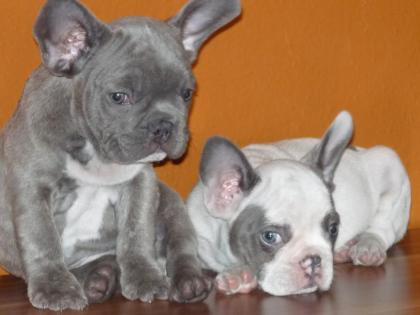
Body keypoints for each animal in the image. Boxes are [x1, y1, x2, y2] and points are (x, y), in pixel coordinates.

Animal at [0, 0, 241, 312]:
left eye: (187, 94)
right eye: (119, 97)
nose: (163, 125)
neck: (96, 152)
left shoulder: (141, 185)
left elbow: (136, 235)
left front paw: (145, 278)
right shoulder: (33, 187)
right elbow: (42, 239)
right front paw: (55, 289)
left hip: (171, 204)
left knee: (180, 246)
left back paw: (188, 282)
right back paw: (97, 280)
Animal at [188, 112, 410, 298]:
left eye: (333, 228)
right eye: (270, 236)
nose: (314, 260)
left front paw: (238, 273)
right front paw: (236, 273)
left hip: (389, 165)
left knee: (384, 226)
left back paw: (368, 245)